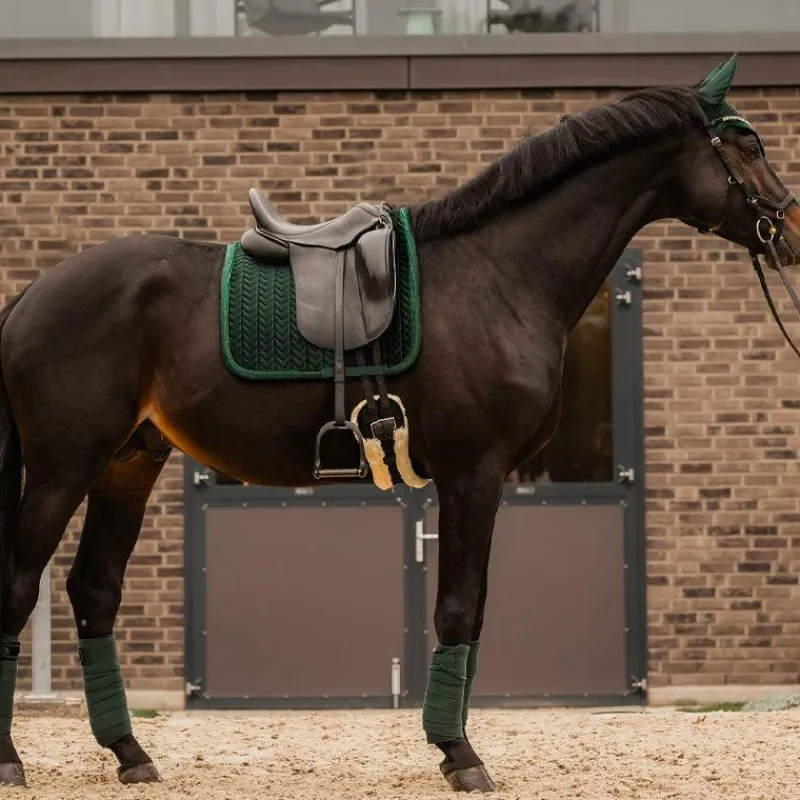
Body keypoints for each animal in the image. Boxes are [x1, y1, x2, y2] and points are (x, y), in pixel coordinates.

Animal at [0, 53, 798, 794]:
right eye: (748, 144)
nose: (788, 228)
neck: (497, 276)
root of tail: (33, 293)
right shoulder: (474, 475)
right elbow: (459, 611)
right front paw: (460, 755)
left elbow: (471, 613)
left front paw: (455, 747)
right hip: (64, 467)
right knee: (19, 583)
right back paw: (13, 760)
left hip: (127, 464)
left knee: (93, 591)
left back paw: (131, 754)